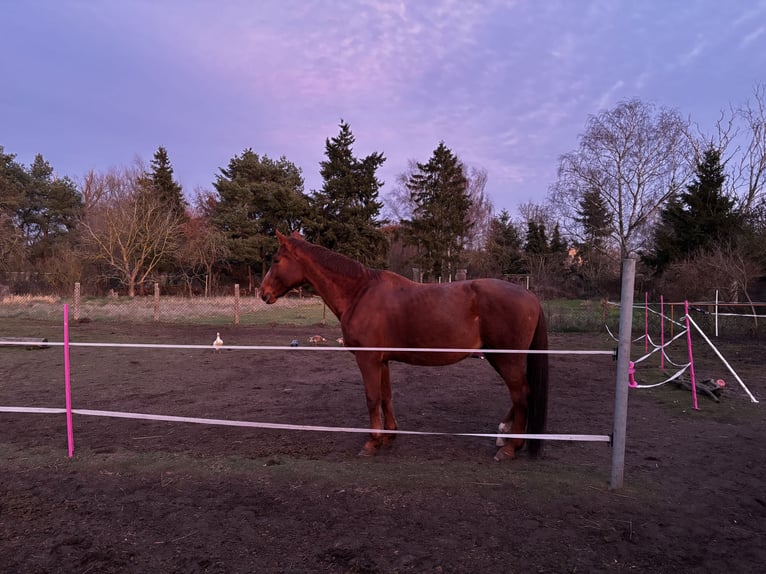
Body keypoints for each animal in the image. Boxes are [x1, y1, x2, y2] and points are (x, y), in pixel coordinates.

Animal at [260, 231, 549, 461]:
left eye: (276, 260)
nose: (263, 293)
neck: (359, 293)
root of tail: (530, 296)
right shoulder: (383, 360)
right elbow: (386, 396)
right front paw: (389, 435)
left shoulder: (367, 359)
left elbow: (372, 397)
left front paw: (372, 442)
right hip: (497, 357)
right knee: (521, 394)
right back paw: (504, 435)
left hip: (506, 358)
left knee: (521, 394)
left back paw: (510, 447)